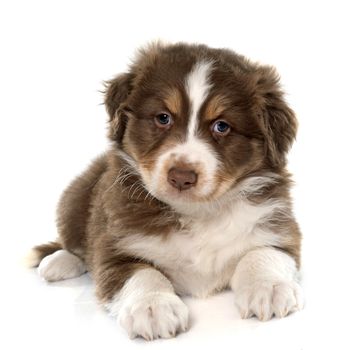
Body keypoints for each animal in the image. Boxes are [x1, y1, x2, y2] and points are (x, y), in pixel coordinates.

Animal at [27, 43, 302, 340]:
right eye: (162, 118)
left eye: (222, 126)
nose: (181, 177)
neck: (198, 213)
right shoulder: (114, 244)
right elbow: (141, 272)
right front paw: (152, 306)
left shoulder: (279, 227)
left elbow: (263, 253)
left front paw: (270, 287)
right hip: (74, 197)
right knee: (74, 242)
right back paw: (58, 262)